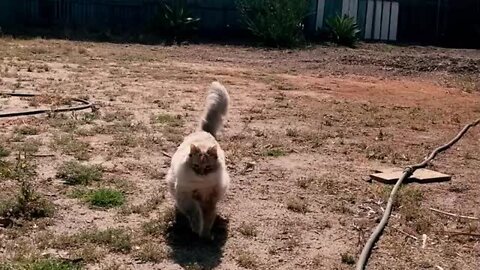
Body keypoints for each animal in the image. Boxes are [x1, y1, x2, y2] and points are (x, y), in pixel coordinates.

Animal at [167, 81, 231, 239]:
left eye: (207, 168)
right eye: (196, 166)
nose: (201, 174)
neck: (201, 185)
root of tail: (204, 131)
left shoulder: (209, 200)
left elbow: (208, 218)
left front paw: (205, 234)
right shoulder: (187, 197)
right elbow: (195, 214)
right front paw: (197, 228)